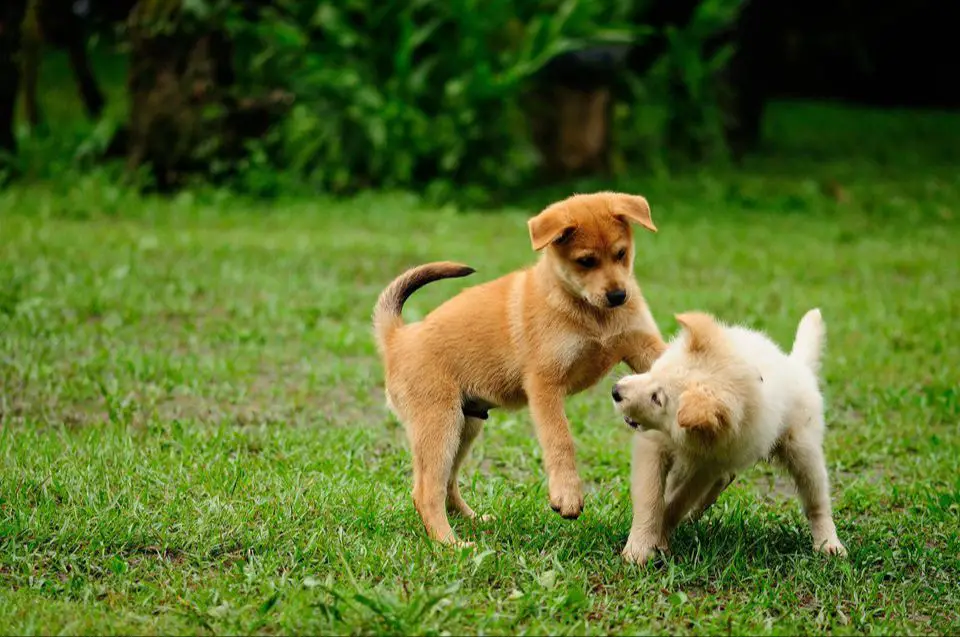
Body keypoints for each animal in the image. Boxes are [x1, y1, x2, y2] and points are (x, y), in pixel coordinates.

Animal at [374, 191, 668, 544]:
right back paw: (452, 543)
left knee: (447, 483)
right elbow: (560, 438)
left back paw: (473, 520)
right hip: (439, 424)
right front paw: (567, 494)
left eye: (621, 254)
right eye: (586, 261)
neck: (591, 314)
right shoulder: (544, 384)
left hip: (465, 426)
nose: (619, 295)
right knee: (425, 491)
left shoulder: (642, 346)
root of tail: (397, 337)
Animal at [612, 308, 844, 560]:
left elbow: (678, 502)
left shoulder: (707, 466)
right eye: (654, 370)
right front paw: (642, 545)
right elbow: (651, 497)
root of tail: (797, 367)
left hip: (802, 450)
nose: (615, 391)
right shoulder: (655, 447)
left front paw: (658, 538)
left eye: (657, 399)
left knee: (816, 501)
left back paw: (828, 543)